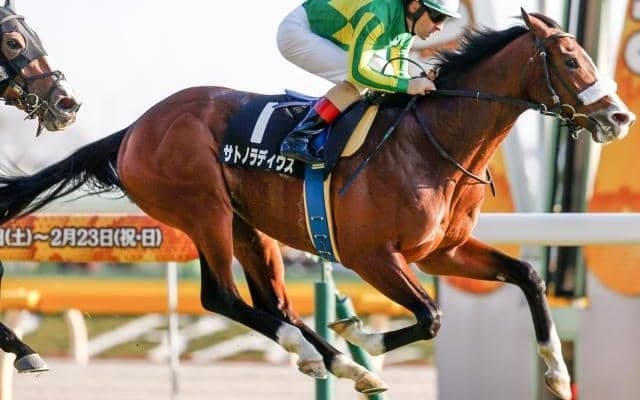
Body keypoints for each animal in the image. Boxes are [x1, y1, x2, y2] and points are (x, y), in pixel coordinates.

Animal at [0, 9, 634, 399]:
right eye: (571, 61)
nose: (619, 116)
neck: (433, 141)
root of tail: (134, 128)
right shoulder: (371, 256)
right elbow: (430, 316)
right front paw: (365, 338)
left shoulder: (442, 252)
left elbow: (528, 275)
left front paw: (557, 373)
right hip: (203, 211)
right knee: (222, 297)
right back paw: (335, 356)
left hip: (247, 225)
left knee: (272, 303)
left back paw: (330, 360)